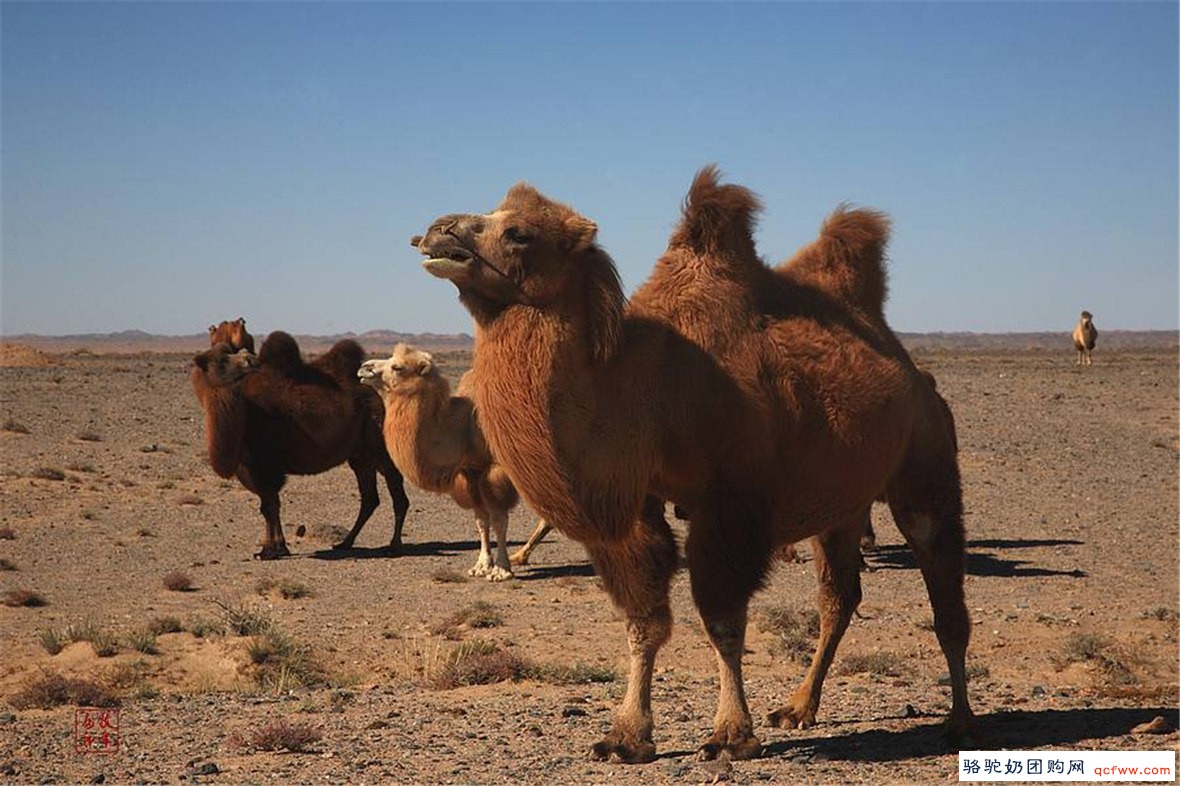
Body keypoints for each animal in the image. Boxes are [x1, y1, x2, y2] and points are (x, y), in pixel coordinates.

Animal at [189, 330, 410, 557]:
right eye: (222, 360)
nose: (248, 359)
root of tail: (380, 398)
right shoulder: (252, 467)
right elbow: (269, 505)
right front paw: (275, 547)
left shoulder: (266, 465)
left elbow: (269, 506)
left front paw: (271, 550)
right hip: (360, 457)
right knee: (369, 499)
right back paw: (345, 543)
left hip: (382, 450)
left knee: (398, 497)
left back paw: (394, 545)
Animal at [353, 342, 540, 575]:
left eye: (398, 367)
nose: (364, 367)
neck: (463, 426)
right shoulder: (471, 472)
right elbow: (481, 520)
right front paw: (481, 566)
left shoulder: (497, 470)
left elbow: (499, 519)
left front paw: (501, 569)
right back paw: (522, 555)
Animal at [412, 165, 967, 760]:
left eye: (519, 233)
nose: (438, 230)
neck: (648, 388)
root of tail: (917, 377)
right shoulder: (636, 503)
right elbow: (644, 620)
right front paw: (626, 735)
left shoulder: (732, 501)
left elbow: (722, 620)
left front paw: (729, 733)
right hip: (841, 502)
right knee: (839, 599)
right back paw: (799, 707)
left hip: (925, 469)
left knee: (942, 593)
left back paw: (960, 720)